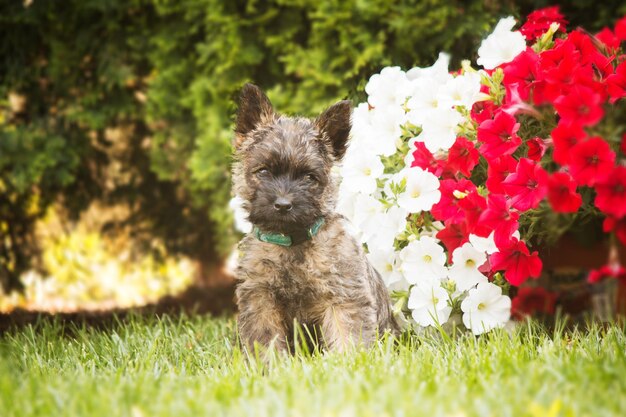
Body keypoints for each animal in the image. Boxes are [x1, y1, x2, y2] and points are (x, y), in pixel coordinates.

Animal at [232, 83, 398, 352]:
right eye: (263, 171)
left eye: (309, 177)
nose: (283, 205)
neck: (290, 244)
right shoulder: (260, 301)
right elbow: (266, 344)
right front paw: (270, 363)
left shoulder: (343, 297)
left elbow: (348, 337)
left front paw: (350, 359)